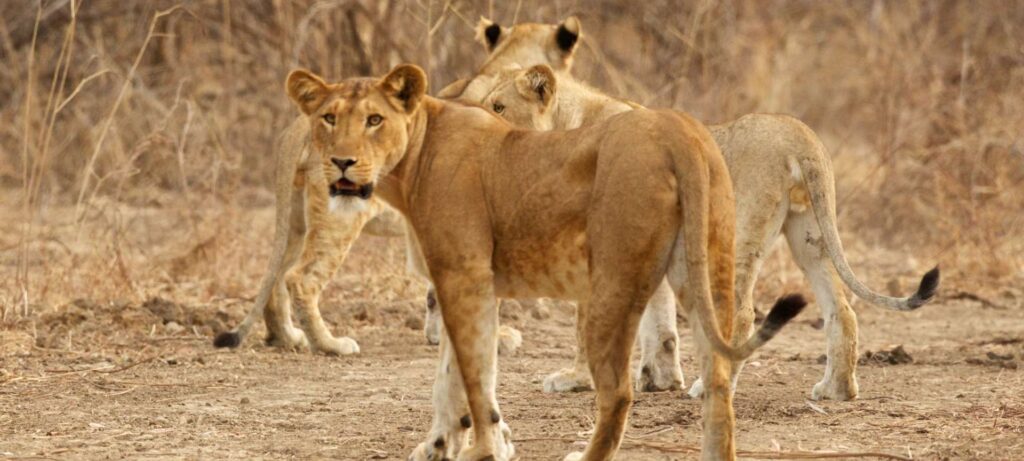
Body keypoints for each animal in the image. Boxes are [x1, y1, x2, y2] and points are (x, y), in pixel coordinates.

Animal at [282, 65, 806, 461]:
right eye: (328, 118)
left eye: (374, 119)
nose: (342, 162)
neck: (414, 159)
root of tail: (677, 130)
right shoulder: (461, 281)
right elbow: (450, 379)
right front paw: (441, 445)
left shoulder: (465, 276)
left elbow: (472, 376)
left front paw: (484, 449)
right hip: (705, 270)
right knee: (718, 384)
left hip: (611, 284)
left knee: (617, 394)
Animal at [450, 17, 942, 399]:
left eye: (498, 106)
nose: (471, 127)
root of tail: (799, 134)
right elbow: (659, 319)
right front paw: (659, 378)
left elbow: (586, 317)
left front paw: (576, 378)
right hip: (810, 235)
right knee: (842, 308)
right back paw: (837, 389)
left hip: (741, 232)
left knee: (743, 314)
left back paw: (713, 387)